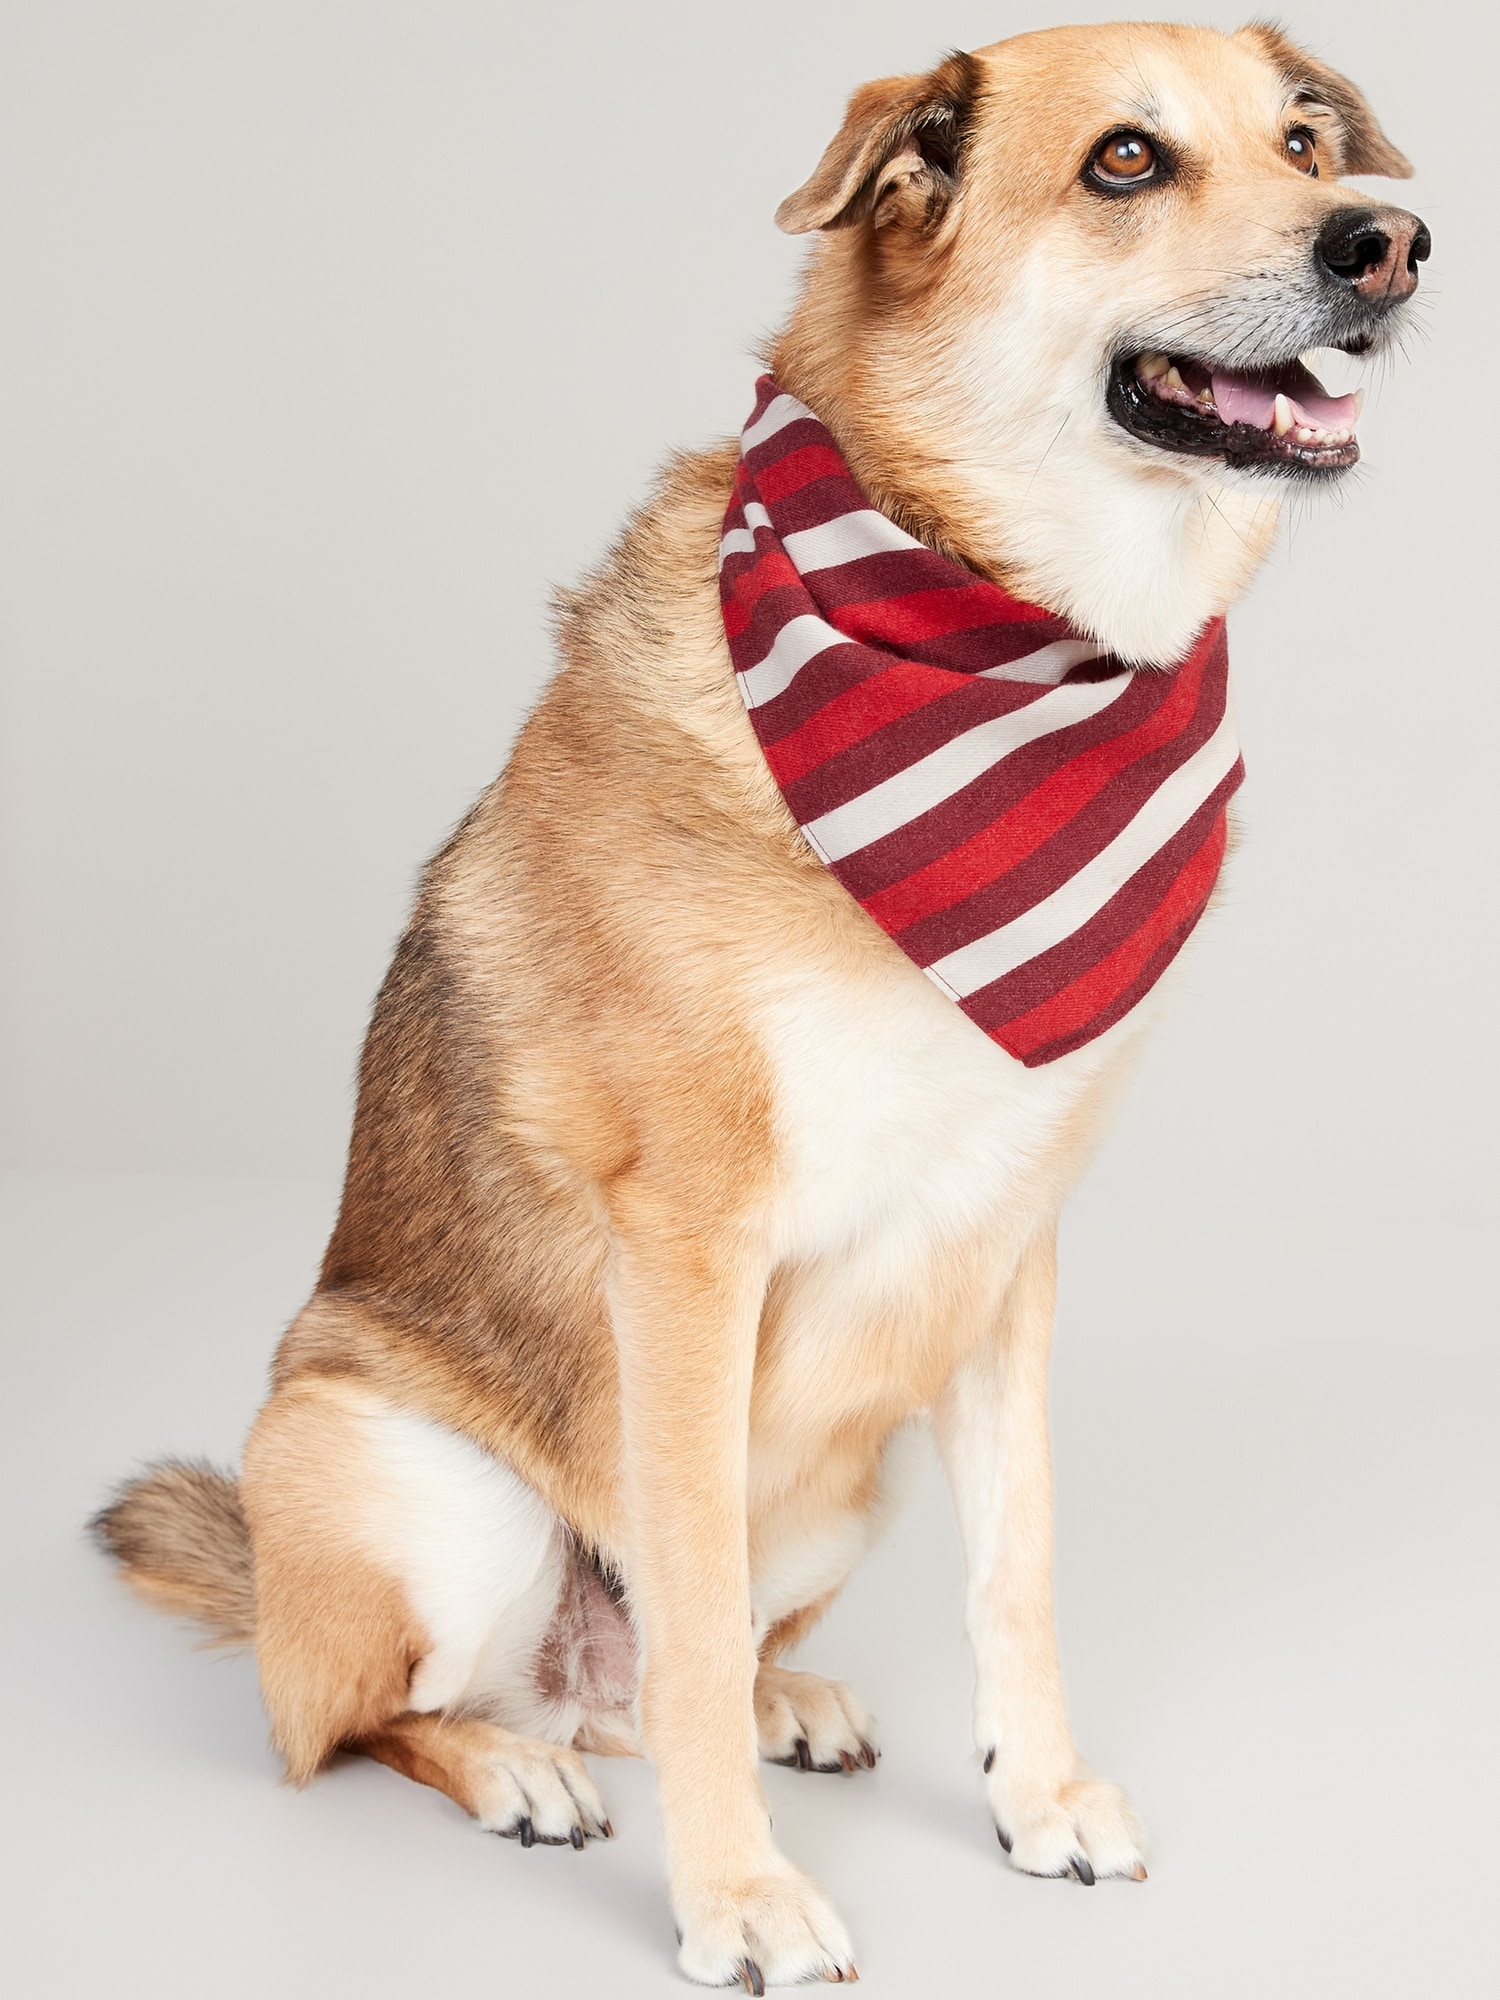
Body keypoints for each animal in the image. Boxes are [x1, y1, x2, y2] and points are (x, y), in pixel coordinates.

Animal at [88, 23, 1424, 1992]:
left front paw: (1038, 1797)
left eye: (1307, 143)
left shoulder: (1006, 1250)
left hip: (845, 1480)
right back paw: (512, 1769)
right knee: (367, 1721)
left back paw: (770, 1709)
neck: (997, 626)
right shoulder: (692, 1248)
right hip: (397, 1476)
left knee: (646, 1684)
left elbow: (1014, 1567)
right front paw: (735, 1898)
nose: (1389, 243)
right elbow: (692, 1616)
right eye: (1125, 161)